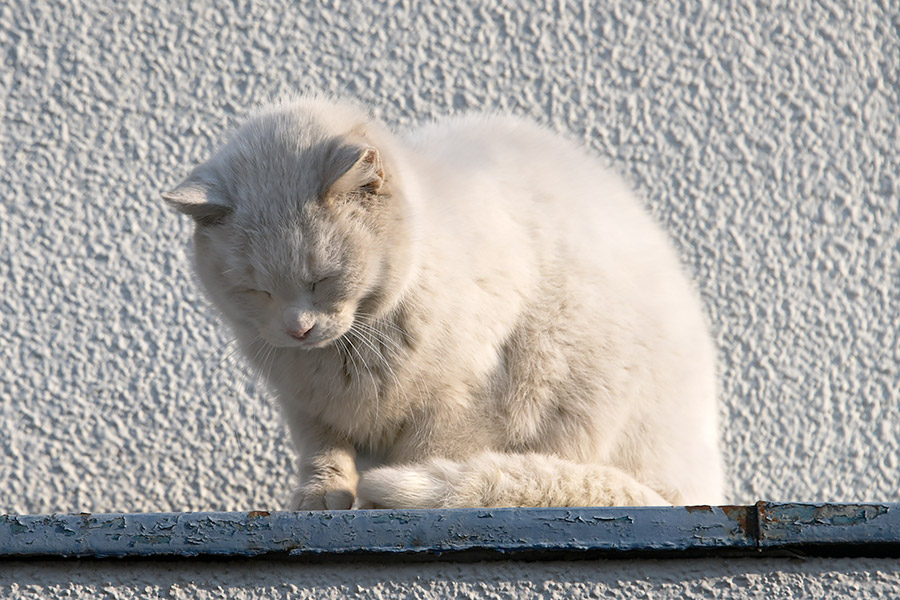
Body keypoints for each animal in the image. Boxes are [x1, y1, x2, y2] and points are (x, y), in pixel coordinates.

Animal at [162, 96, 724, 508]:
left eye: (323, 279)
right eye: (254, 288)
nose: (297, 329)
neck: (350, 353)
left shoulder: (460, 404)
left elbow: (422, 457)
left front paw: (378, 499)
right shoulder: (305, 406)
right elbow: (322, 454)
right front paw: (319, 498)